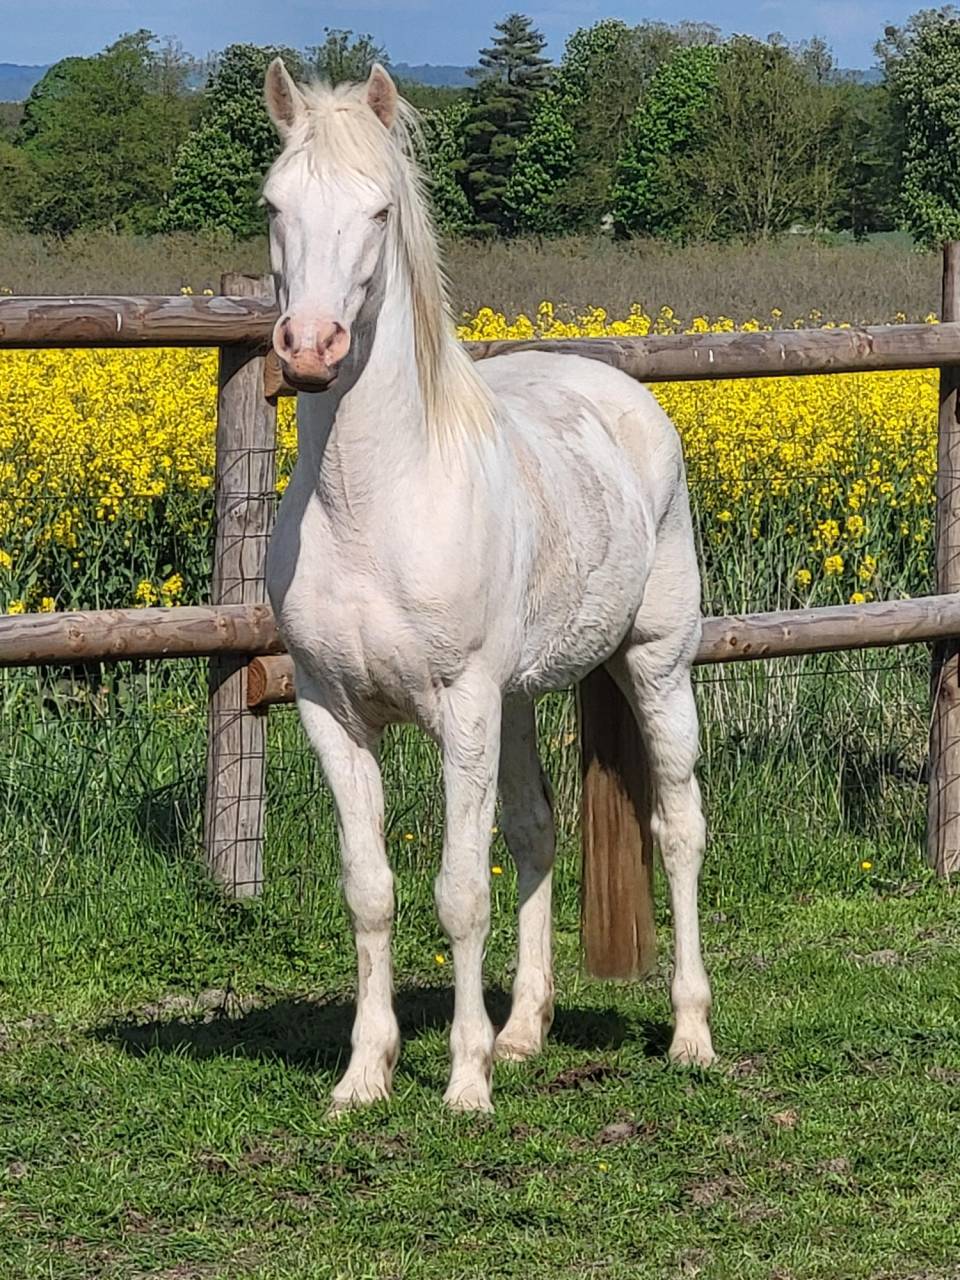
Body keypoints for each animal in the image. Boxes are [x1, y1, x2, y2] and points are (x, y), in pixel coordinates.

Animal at [261, 60, 715, 1113]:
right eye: (273, 205)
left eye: (380, 210)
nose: (310, 349)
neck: (373, 502)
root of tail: (631, 400)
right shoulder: (330, 711)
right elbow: (372, 891)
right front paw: (366, 1074)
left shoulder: (460, 706)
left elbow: (460, 891)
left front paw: (463, 1083)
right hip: (517, 700)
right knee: (538, 830)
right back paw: (524, 1032)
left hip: (656, 665)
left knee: (678, 827)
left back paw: (689, 1036)